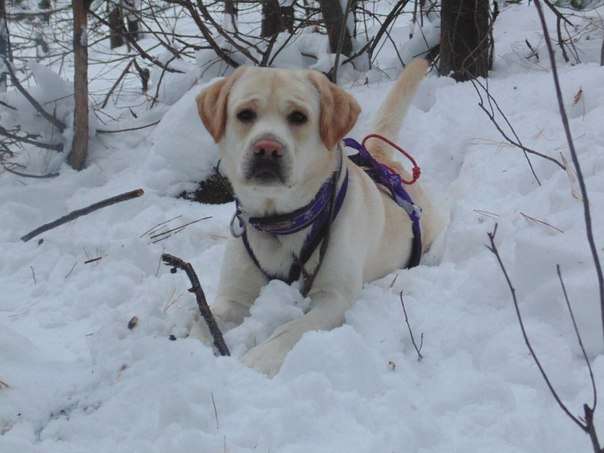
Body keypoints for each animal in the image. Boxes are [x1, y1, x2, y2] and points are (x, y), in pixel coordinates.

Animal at [196, 58, 436, 374]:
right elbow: (201, 319)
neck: (281, 222)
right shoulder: (233, 297)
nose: (267, 148)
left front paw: (260, 358)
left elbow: (293, 328)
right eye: (245, 114)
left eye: (298, 117)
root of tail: (380, 159)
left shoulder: (333, 297)